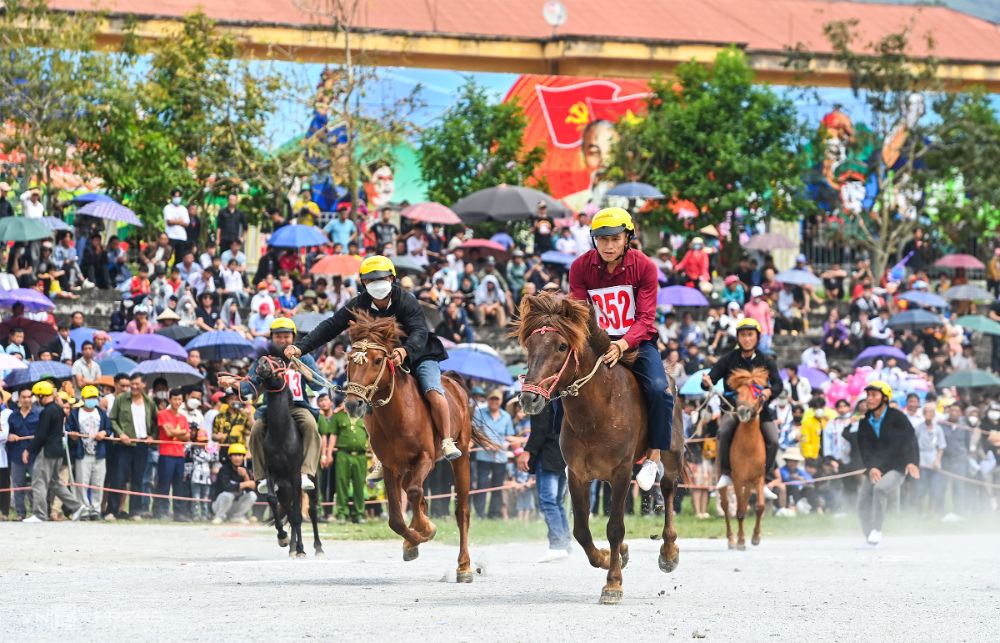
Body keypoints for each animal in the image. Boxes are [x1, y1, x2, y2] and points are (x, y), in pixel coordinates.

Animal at [340, 312, 492, 584]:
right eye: (349, 360)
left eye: (377, 360)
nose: (353, 404)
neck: (398, 414)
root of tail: (454, 383)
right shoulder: (391, 466)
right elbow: (396, 519)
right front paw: (414, 540)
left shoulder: (425, 458)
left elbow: (413, 493)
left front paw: (426, 529)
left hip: (461, 455)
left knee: (461, 510)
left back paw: (464, 567)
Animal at [512, 294, 684, 608]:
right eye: (529, 345)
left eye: (562, 346)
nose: (529, 398)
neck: (596, 411)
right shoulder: (577, 474)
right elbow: (581, 530)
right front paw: (608, 558)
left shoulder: (621, 473)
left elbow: (615, 527)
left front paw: (613, 584)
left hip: (673, 453)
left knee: (667, 488)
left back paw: (668, 553)